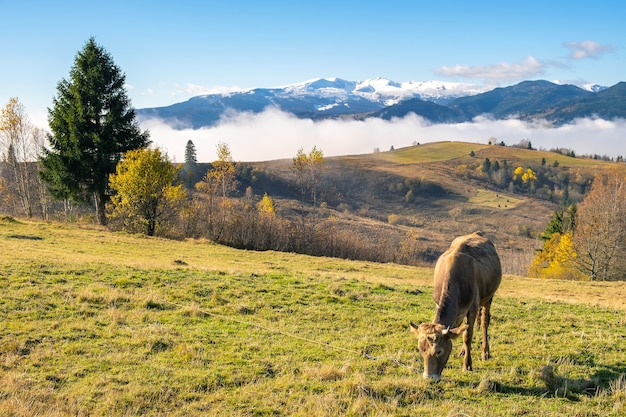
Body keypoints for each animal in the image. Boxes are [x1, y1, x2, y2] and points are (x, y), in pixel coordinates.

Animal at [408, 231, 500, 380]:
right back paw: (463, 351)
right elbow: (462, 332)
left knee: (484, 322)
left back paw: (485, 352)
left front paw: (467, 366)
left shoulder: (473, 308)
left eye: (438, 351)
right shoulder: (439, 303)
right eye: (420, 349)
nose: (428, 377)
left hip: (489, 297)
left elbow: (468, 336)